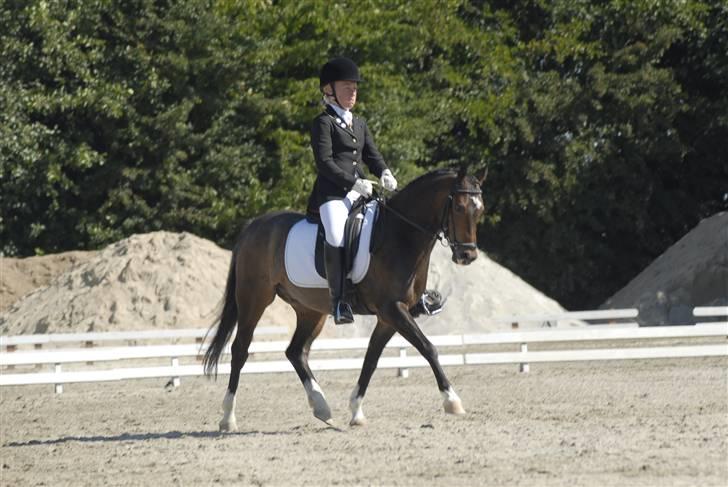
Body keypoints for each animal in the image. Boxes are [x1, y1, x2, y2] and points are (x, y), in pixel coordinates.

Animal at [203, 166, 486, 429]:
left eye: (480, 210)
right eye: (459, 207)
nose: (467, 256)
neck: (399, 236)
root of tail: (254, 225)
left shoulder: (389, 316)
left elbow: (371, 359)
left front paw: (356, 411)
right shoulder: (392, 309)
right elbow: (428, 348)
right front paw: (452, 401)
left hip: (310, 310)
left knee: (296, 351)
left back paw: (321, 406)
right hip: (254, 299)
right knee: (240, 349)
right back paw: (228, 418)